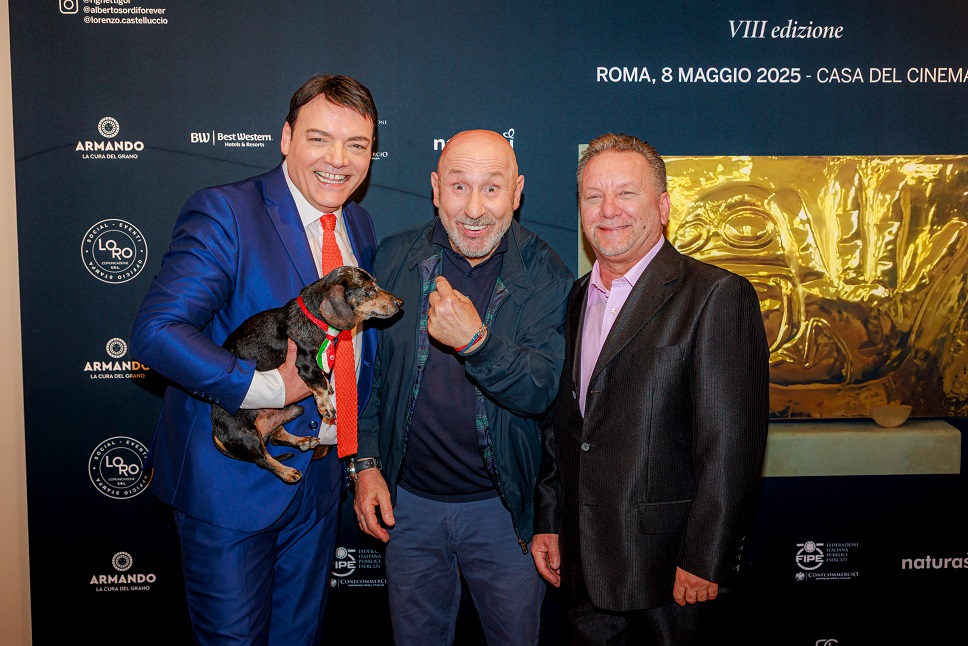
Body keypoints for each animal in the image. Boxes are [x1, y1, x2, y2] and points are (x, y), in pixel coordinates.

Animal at [211, 266, 402, 483]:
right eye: (369, 289)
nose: (400, 303)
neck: (314, 317)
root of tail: (215, 431)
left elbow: (322, 378)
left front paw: (328, 386)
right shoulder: (304, 363)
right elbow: (319, 382)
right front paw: (326, 404)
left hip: (293, 410)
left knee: (275, 437)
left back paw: (304, 441)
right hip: (247, 435)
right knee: (262, 459)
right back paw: (287, 471)